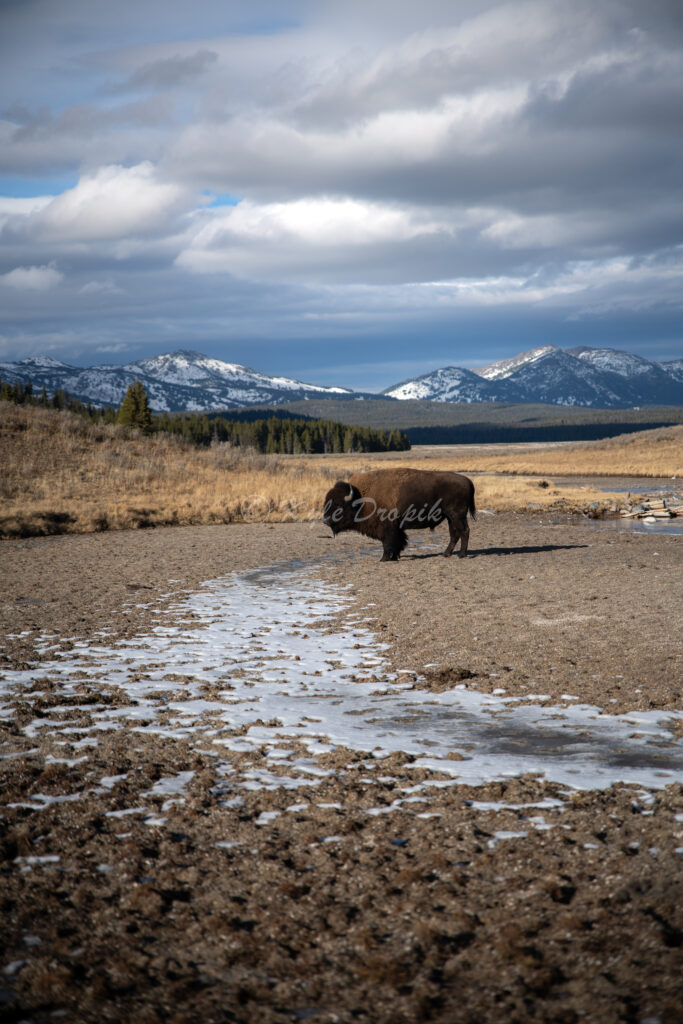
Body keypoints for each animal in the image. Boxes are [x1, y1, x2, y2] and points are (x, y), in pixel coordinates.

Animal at [325, 468, 475, 565]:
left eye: (338, 504)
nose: (325, 520)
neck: (361, 498)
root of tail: (467, 480)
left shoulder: (387, 528)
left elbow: (388, 543)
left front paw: (384, 559)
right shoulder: (397, 528)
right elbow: (398, 542)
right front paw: (394, 557)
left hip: (457, 516)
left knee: (464, 531)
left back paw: (461, 554)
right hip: (450, 517)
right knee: (454, 534)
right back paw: (446, 554)